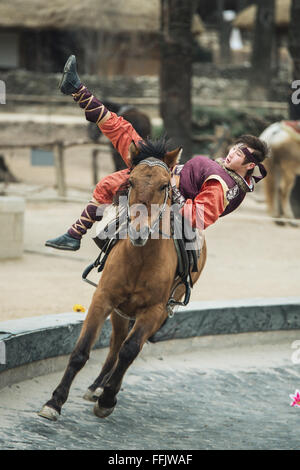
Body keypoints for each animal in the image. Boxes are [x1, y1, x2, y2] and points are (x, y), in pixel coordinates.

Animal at [37, 138, 206, 420]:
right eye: (131, 182)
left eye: (163, 185)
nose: (139, 231)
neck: (141, 257)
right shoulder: (103, 298)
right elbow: (82, 351)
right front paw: (55, 401)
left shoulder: (154, 310)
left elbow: (130, 351)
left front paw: (108, 399)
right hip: (120, 311)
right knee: (115, 344)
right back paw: (96, 386)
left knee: (127, 348)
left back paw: (105, 388)